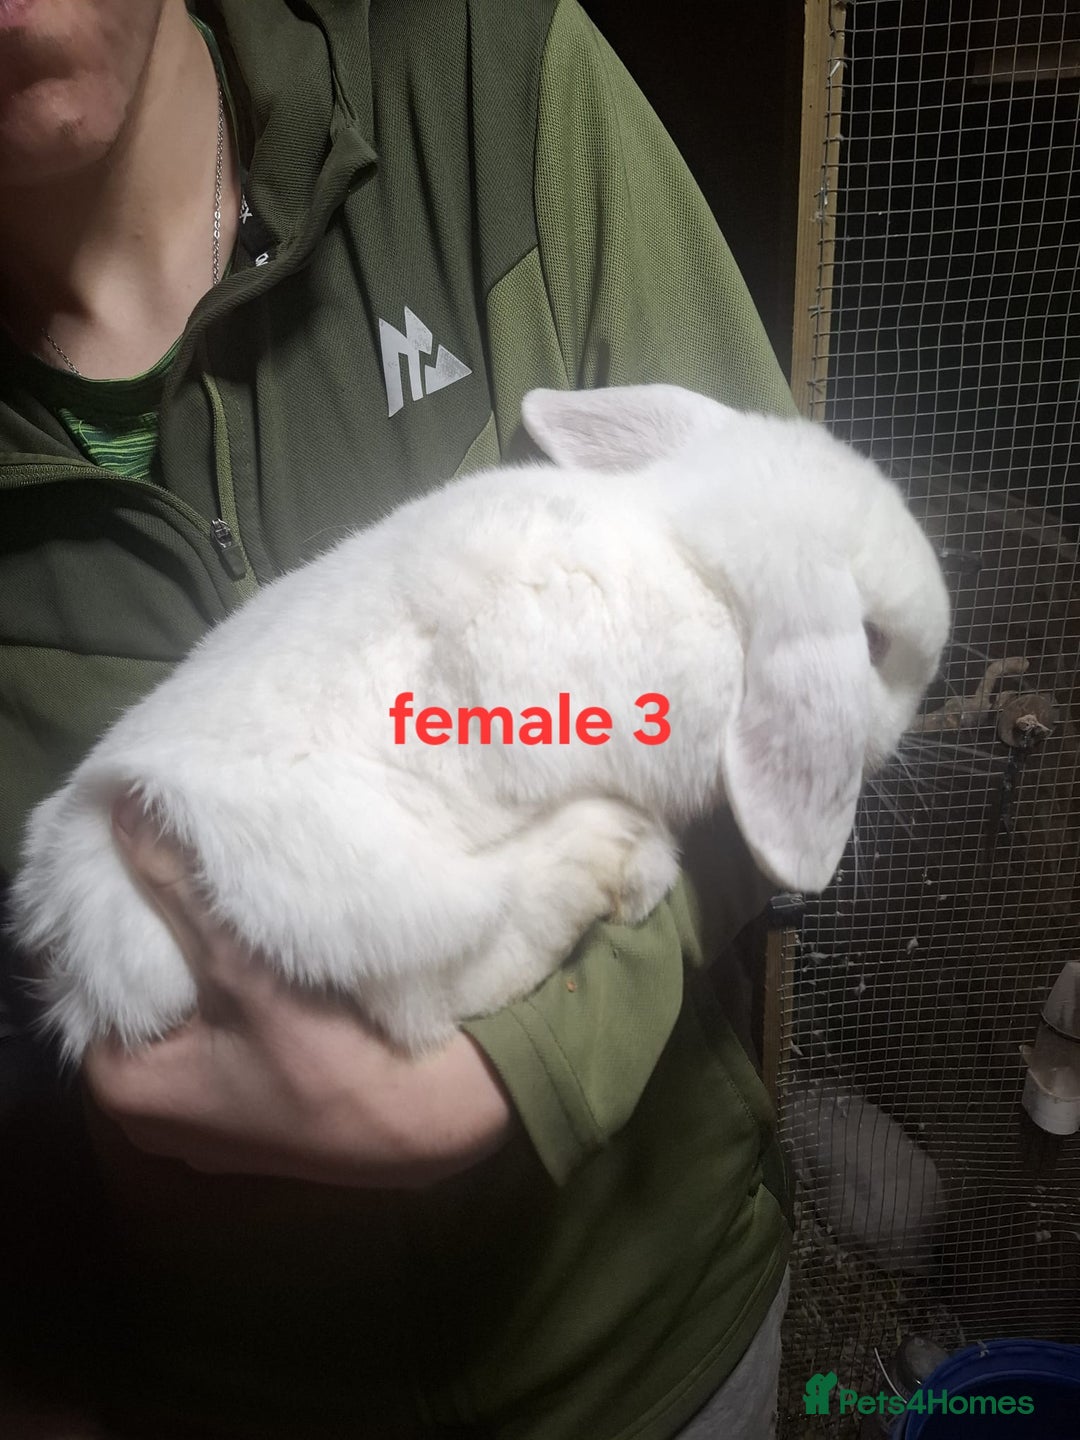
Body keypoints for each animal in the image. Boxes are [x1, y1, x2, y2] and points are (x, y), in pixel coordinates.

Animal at [8, 384, 951, 1061]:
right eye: (874, 643)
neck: (689, 554)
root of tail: (79, 938)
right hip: (351, 887)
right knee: (429, 996)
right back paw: (617, 859)